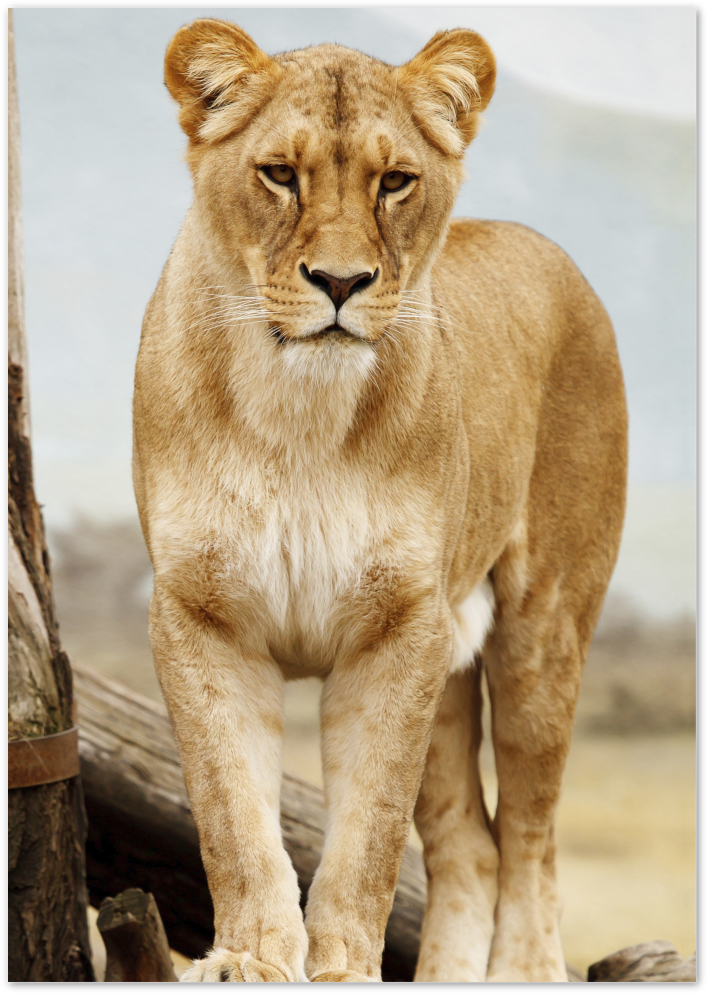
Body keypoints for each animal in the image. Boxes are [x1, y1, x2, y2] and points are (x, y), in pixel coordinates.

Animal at [132, 18, 627, 983]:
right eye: (278, 174)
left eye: (394, 181)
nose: (339, 282)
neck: (297, 411)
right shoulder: (201, 616)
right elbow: (232, 815)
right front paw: (250, 957)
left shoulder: (399, 628)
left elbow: (367, 834)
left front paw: (342, 966)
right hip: (453, 661)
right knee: (471, 847)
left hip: (540, 633)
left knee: (531, 840)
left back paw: (522, 968)